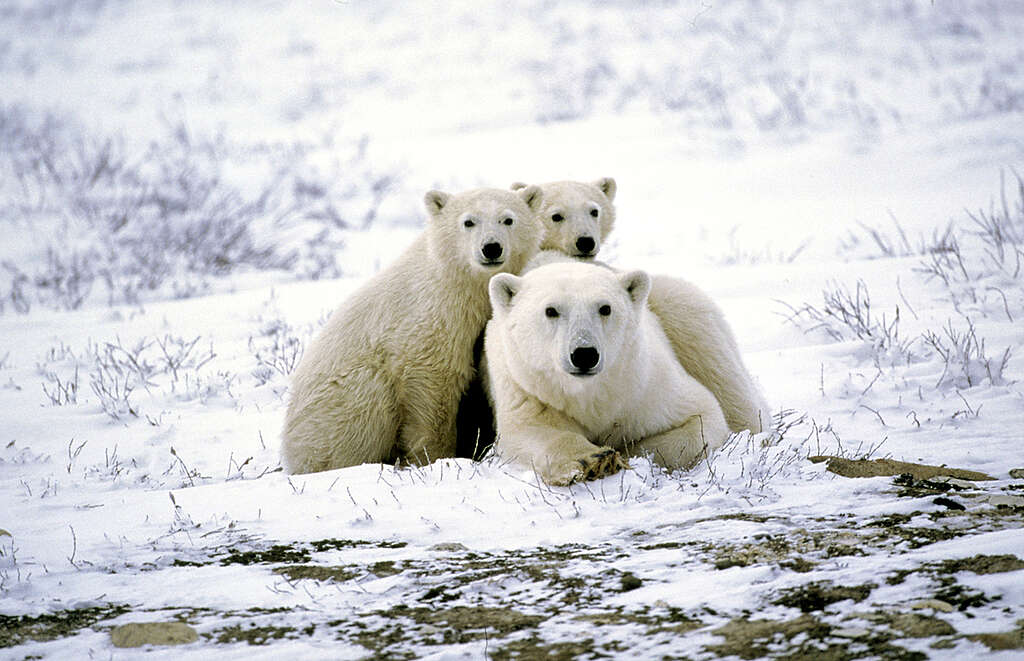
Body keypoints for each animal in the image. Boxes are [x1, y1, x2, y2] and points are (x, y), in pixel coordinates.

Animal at [284, 188, 544, 476]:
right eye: (469, 221)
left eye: (508, 219)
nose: (491, 247)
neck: (456, 281)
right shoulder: (432, 317)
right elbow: (434, 383)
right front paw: (435, 458)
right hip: (339, 403)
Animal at [481, 258, 729, 487]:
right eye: (550, 310)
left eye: (605, 308)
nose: (584, 354)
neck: (592, 394)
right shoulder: (528, 390)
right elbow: (527, 431)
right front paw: (594, 460)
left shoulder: (646, 387)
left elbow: (703, 417)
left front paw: (630, 451)